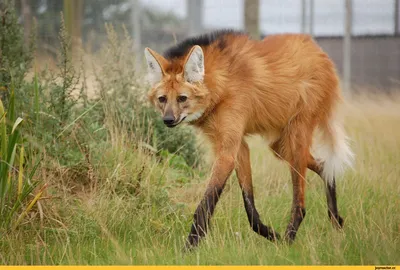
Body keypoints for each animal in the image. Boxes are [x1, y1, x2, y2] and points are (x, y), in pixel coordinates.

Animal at [144, 29, 354, 249]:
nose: (168, 120)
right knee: (324, 166)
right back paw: (335, 220)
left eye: (182, 98)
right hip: (280, 146)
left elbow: (205, 205)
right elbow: (250, 207)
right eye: (162, 99)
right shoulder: (238, 146)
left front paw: (189, 247)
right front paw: (271, 234)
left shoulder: (227, 152)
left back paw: (289, 241)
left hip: (295, 137)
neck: (221, 86)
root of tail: (319, 52)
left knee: (300, 204)